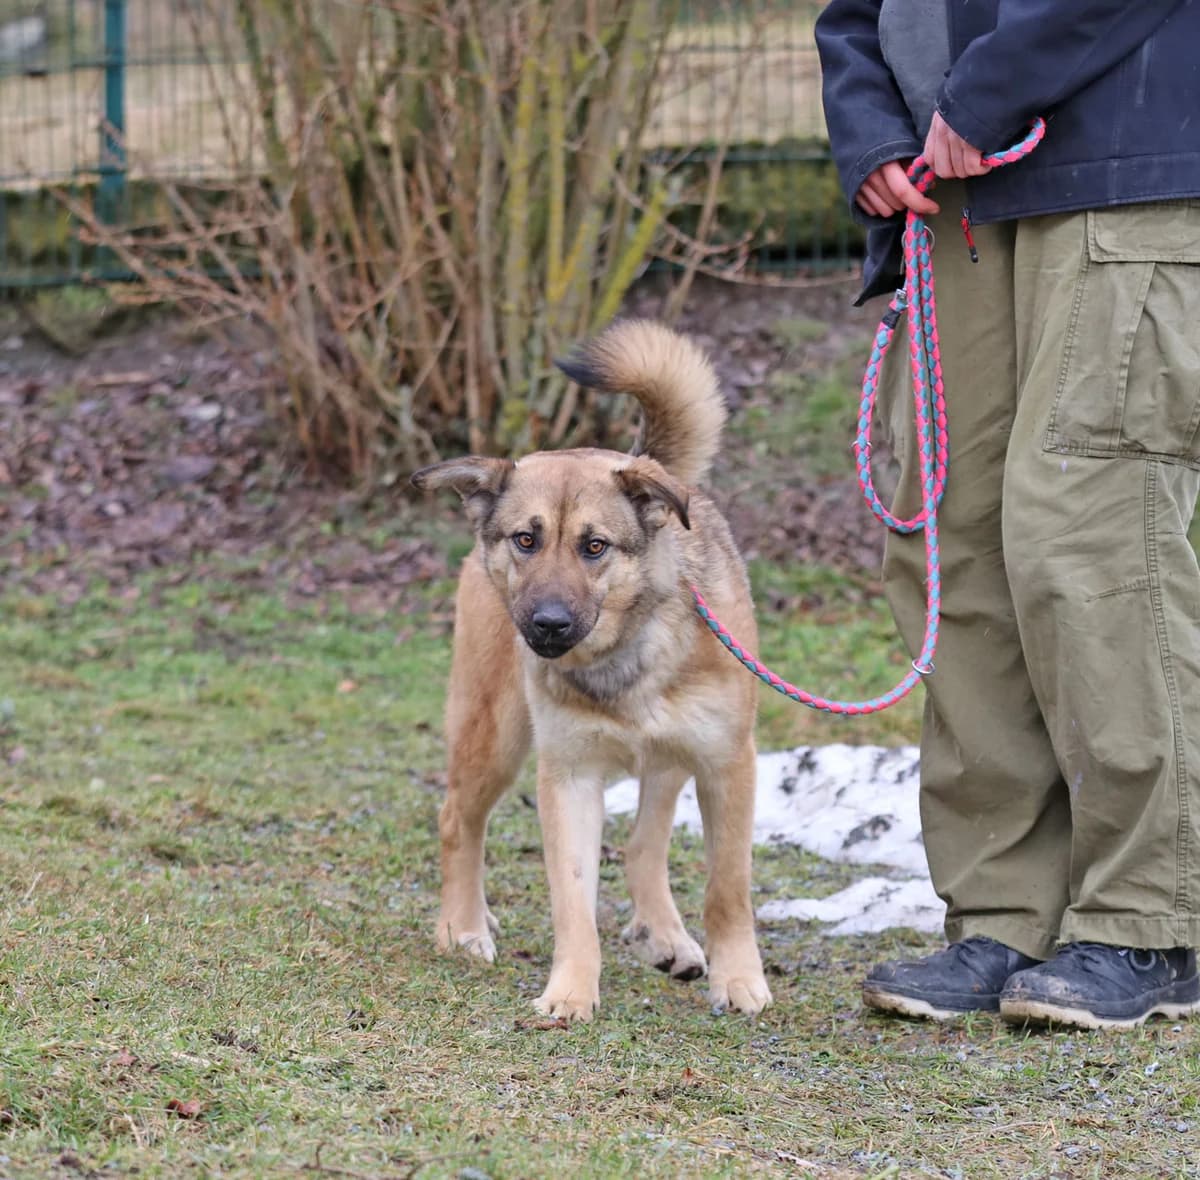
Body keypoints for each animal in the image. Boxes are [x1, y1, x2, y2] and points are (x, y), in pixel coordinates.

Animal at [411, 319, 771, 1021]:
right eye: (526, 540)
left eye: (594, 546)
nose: (548, 624)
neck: (624, 657)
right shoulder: (569, 777)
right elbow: (572, 900)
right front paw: (572, 990)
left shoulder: (727, 764)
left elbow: (728, 886)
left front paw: (739, 978)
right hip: (494, 738)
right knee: (456, 820)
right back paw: (462, 927)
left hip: (669, 761)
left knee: (642, 846)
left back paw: (667, 937)